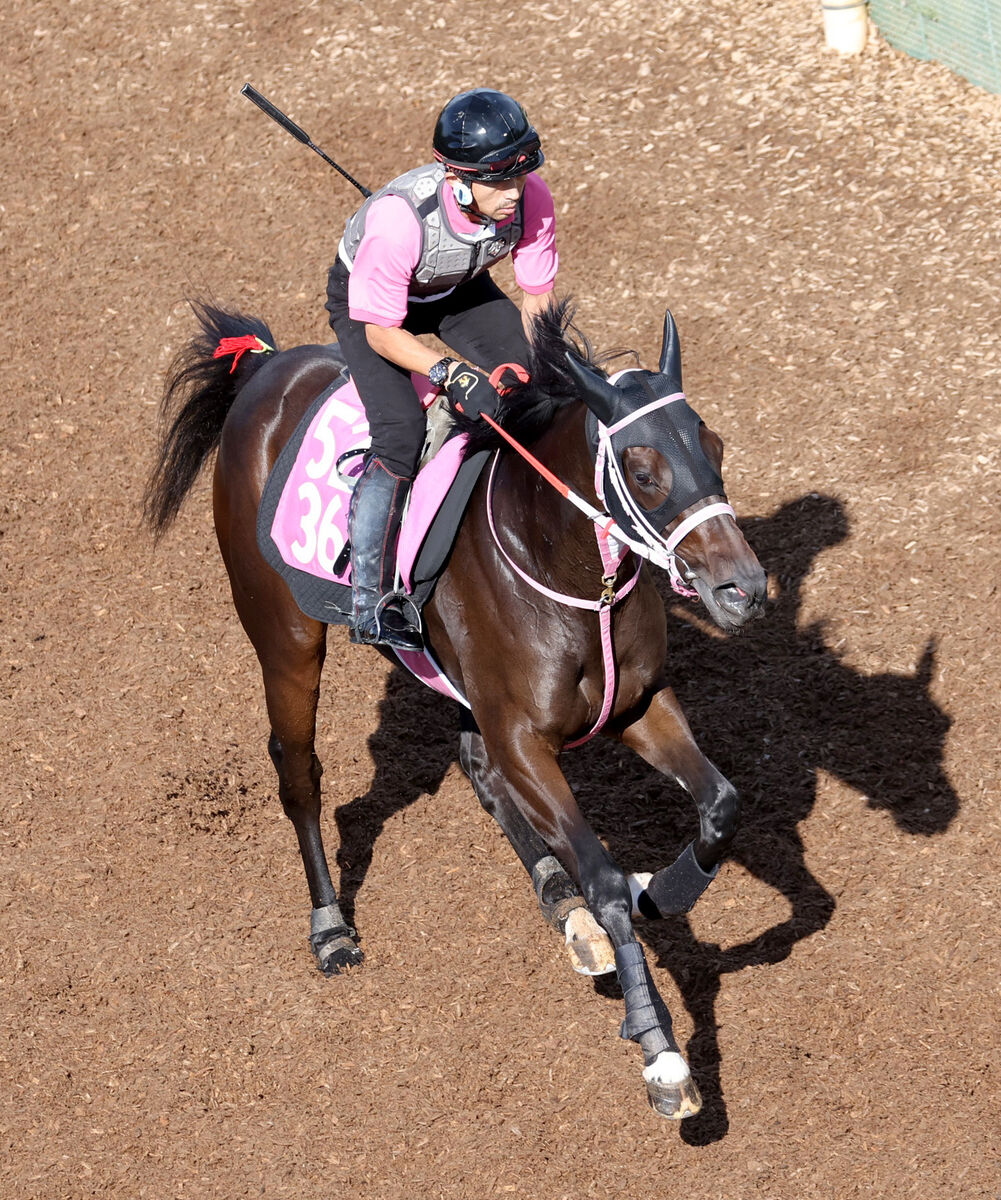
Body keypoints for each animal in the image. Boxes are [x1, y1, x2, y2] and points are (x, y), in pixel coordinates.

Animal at [142, 302, 763, 1113]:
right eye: (641, 469)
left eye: (713, 445)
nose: (744, 590)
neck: (564, 567)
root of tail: (266, 366)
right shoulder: (525, 736)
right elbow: (601, 876)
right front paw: (661, 1054)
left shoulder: (637, 706)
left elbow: (720, 806)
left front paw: (658, 891)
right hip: (285, 636)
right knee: (299, 771)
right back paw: (331, 928)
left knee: (475, 764)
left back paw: (562, 907)